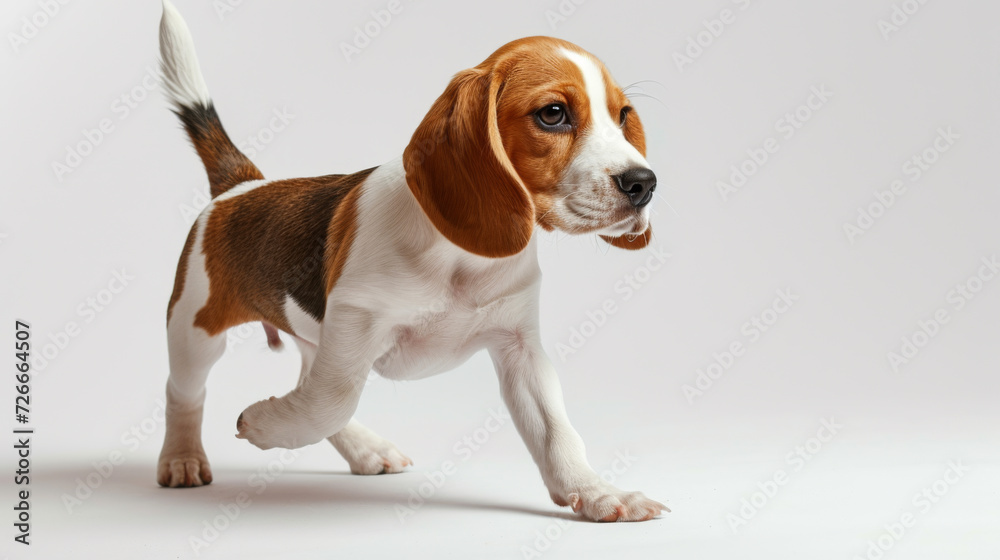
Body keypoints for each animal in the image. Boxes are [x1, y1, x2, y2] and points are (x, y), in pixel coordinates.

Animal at [160, 1, 668, 524]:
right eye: (553, 114)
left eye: (622, 115)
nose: (644, 183)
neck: (462, 259)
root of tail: (242, 185)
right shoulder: (354, 321)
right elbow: (331, 400)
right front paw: (263, 425)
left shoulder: (520, 347)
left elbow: (556, 431)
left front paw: (597, 492)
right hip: (195, 328)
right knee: (185, 392)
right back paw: (181, 458)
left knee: (303, 380)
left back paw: (365, 448)